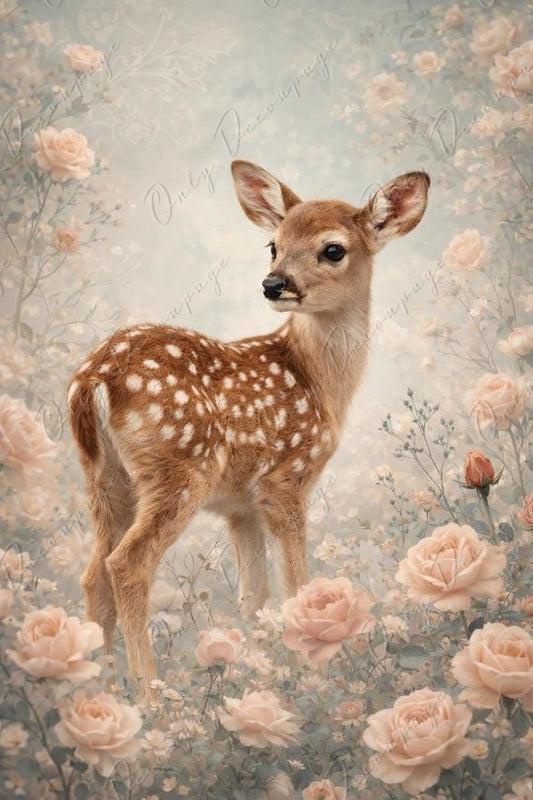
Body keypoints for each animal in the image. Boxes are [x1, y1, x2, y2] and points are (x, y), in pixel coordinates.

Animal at [67, 160, 430, 697]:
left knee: (93, 574)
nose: (273, 284)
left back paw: (103, 693)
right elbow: (298, 586)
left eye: (333, 249)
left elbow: (254, 597)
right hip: (179, 469)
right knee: (127, 565)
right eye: (273, 244)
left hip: (103, 477)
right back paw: (153, 697)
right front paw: (315, 681)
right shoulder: (286, 478)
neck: (317, 381)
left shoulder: (241, 506)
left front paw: (263, 676)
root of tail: (95, 379)